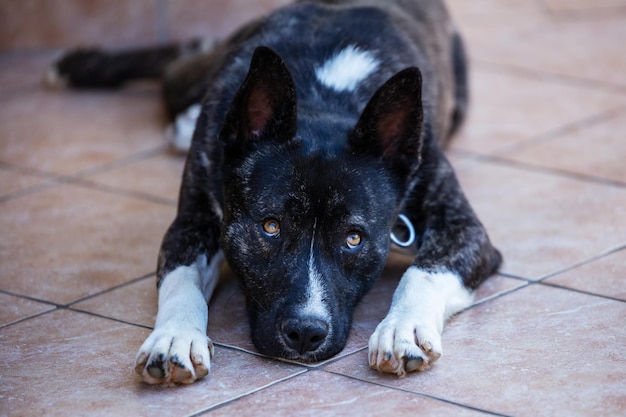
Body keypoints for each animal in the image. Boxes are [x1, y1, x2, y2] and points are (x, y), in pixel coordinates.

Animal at [46, 0, 500, 384]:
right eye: (270, 226)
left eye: (354, 238)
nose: (305, 332)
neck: (325, 98)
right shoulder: (192, 222)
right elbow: (180, 280)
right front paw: (174, 337)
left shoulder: (464, 229)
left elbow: (423, 272)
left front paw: (403, 328)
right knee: (180, 64)